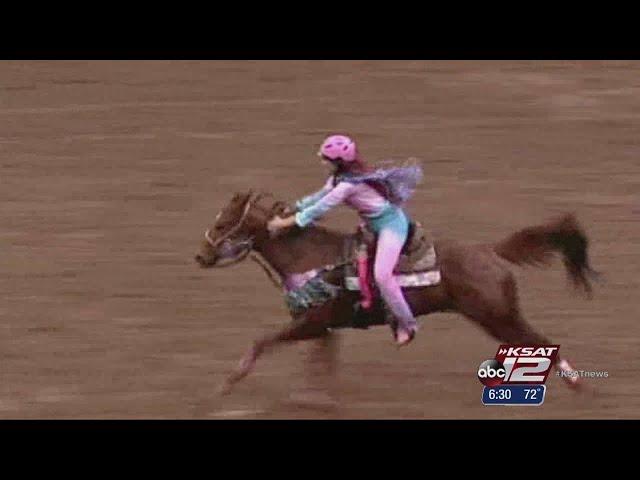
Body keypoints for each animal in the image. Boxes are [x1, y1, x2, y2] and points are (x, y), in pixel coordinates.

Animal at [195, 190, 600, 398]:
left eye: (222, 223)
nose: (201, 256)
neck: (311, 258)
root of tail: (490, 251)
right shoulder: (324, 329)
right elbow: (322, 366)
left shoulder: (310, 324)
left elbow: (262, 342)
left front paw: (226, 384)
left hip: (499, 315)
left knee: (540, 343)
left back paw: (577, 385)